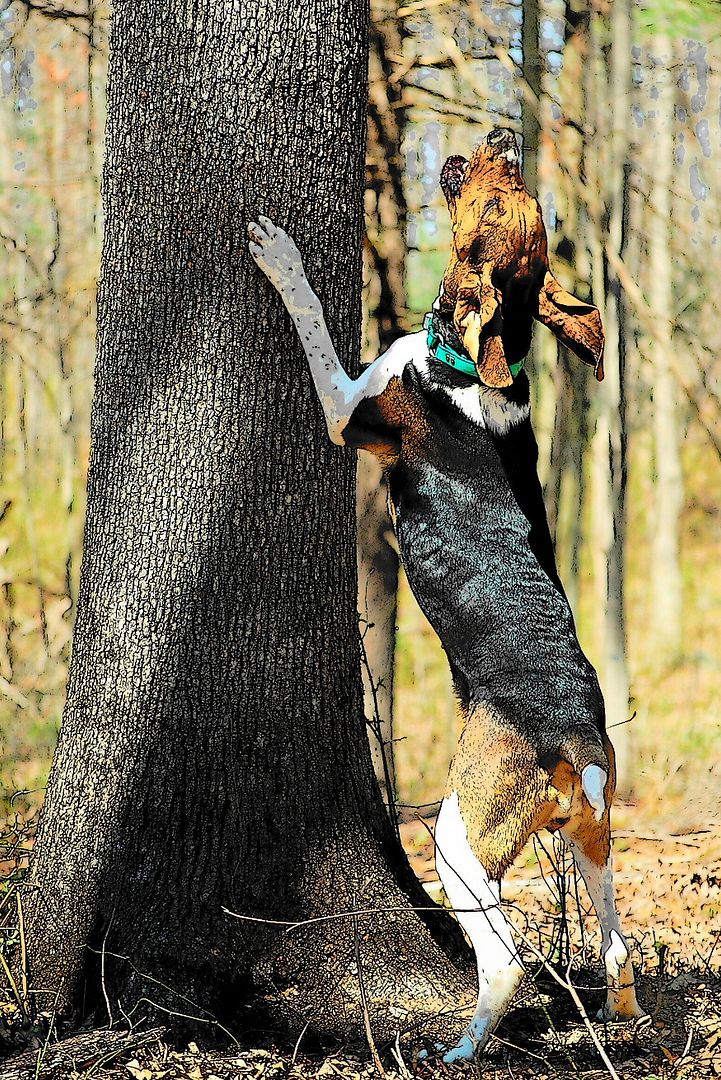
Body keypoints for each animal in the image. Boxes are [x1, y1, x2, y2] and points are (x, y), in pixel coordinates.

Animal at [247, 130, 643, 1062]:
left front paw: (280, 254)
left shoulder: (346, 405)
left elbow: (311, 314)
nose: (501, 137)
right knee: (616, 947)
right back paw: (613, 1023)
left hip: (458, 840)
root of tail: (576, 742)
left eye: (495, 205)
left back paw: (461, 1048)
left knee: (504, 961)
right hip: (593, 846)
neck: (480, 359)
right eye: (520, 199)